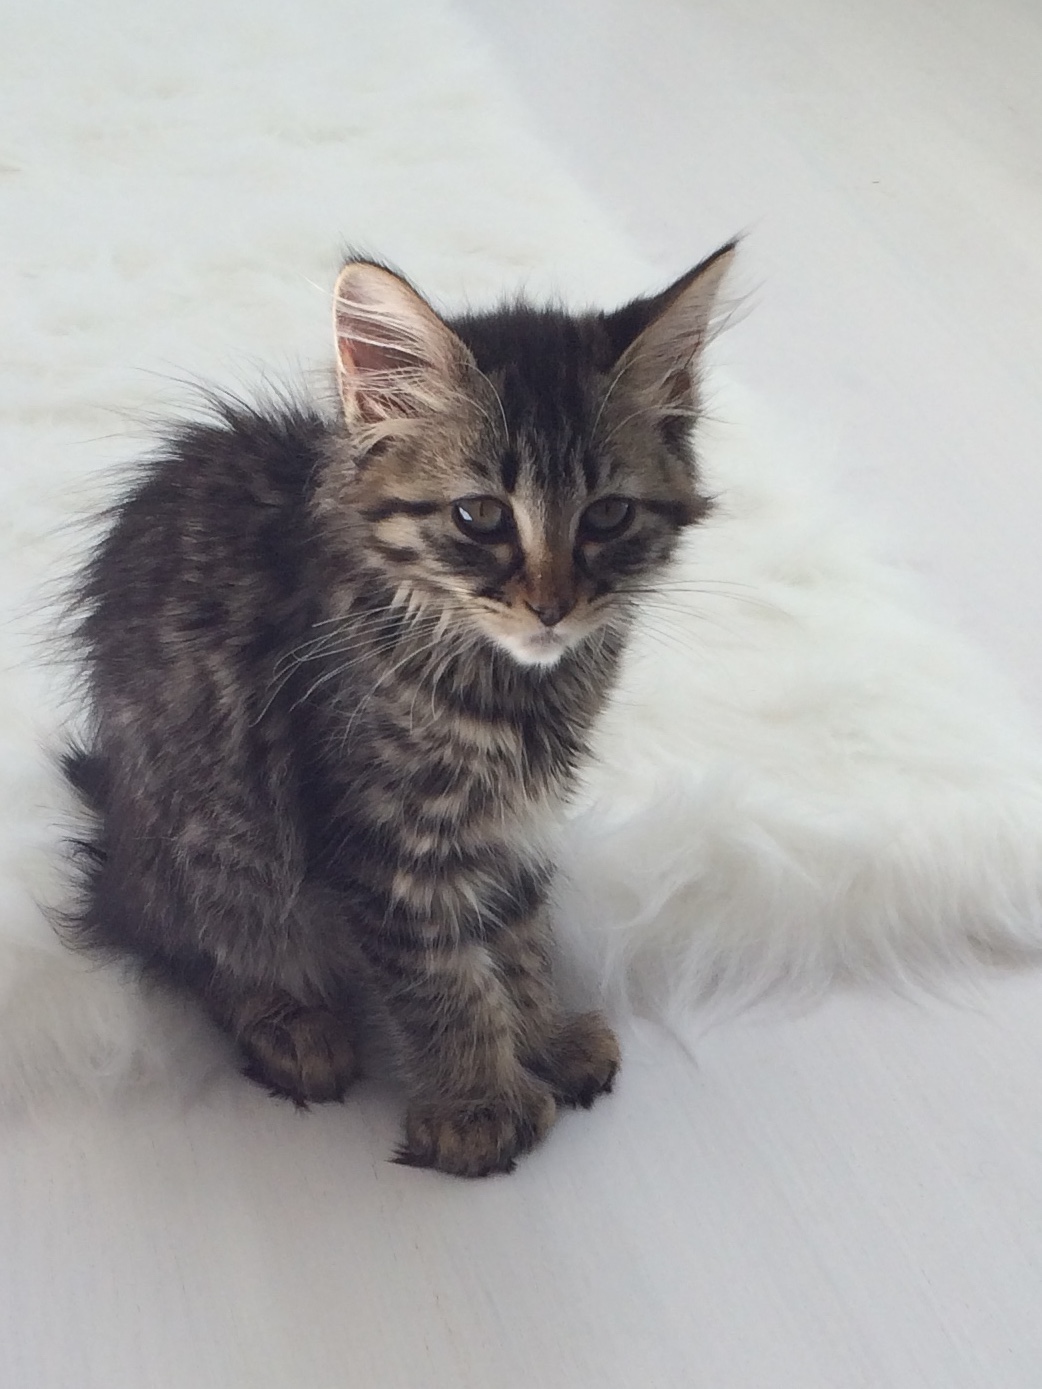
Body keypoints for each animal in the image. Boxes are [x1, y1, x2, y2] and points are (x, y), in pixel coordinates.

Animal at [63, 244, 733, 1177]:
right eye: (480, 515)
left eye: (607, 515)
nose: (553, 606)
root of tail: (119, 839)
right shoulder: (382, 841)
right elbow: (443, 978)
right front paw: (479, 1103)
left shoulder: (509, 825)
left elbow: (515, 937)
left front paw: (542, 1036)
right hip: (218, 841)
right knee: (192, 945)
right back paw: (293, 1026)